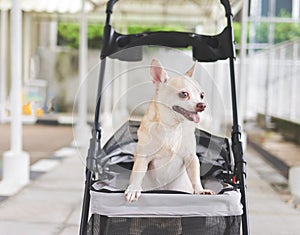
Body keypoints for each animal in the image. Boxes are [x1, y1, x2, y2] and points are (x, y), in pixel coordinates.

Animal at [125, 58, 216, 202]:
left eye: (202, 95)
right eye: (184, 94)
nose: (202, 105)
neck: (172, 127)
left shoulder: (191, 158)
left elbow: (195, 176)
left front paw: (200, 190)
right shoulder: (143, 157)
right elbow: (138, 173)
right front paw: (134, 188)